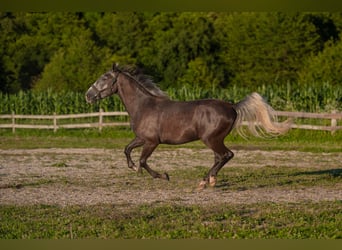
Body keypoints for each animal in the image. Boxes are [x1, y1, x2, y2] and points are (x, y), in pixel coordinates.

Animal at [85, 63, 288, 188]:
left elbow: (143, 160)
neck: (143, 106)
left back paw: (205, 182)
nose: (88, 95)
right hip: (215, 140)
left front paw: (162, 176)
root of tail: (232, 106)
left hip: (211, 139)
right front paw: (134, 168)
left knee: (226, 155)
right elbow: (127, 150)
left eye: (104, 78)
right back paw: (210, 180)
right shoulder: (141, 138)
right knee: (219, 158)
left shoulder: (151, 141)